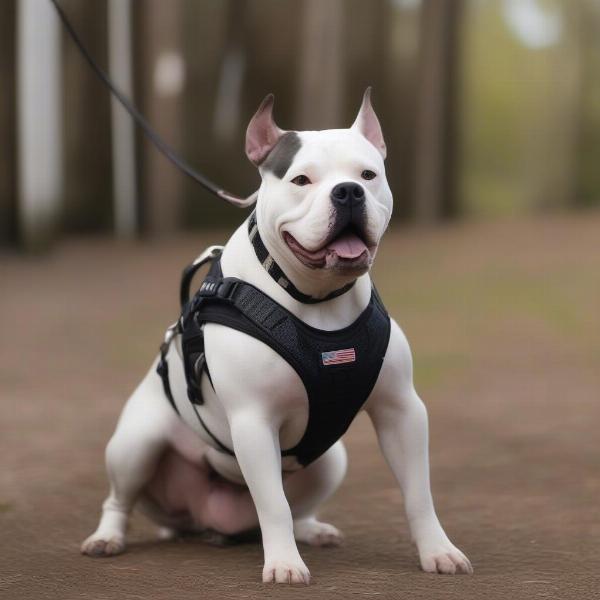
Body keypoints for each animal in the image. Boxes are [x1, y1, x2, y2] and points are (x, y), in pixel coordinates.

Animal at [81, 89, 474, 580]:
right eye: (301, 180)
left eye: (368, 175)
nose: (348, 191)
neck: (316, 299)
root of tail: (199, 519)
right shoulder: (254, 421)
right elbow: (273, 505)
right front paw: (285, 564)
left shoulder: (401, 410)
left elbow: (419, 494)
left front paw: (437, 550)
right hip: (136, 445)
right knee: (118, 498)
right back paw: (107, 537)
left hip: (331, 460)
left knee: (300, 505)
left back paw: (312, 530)